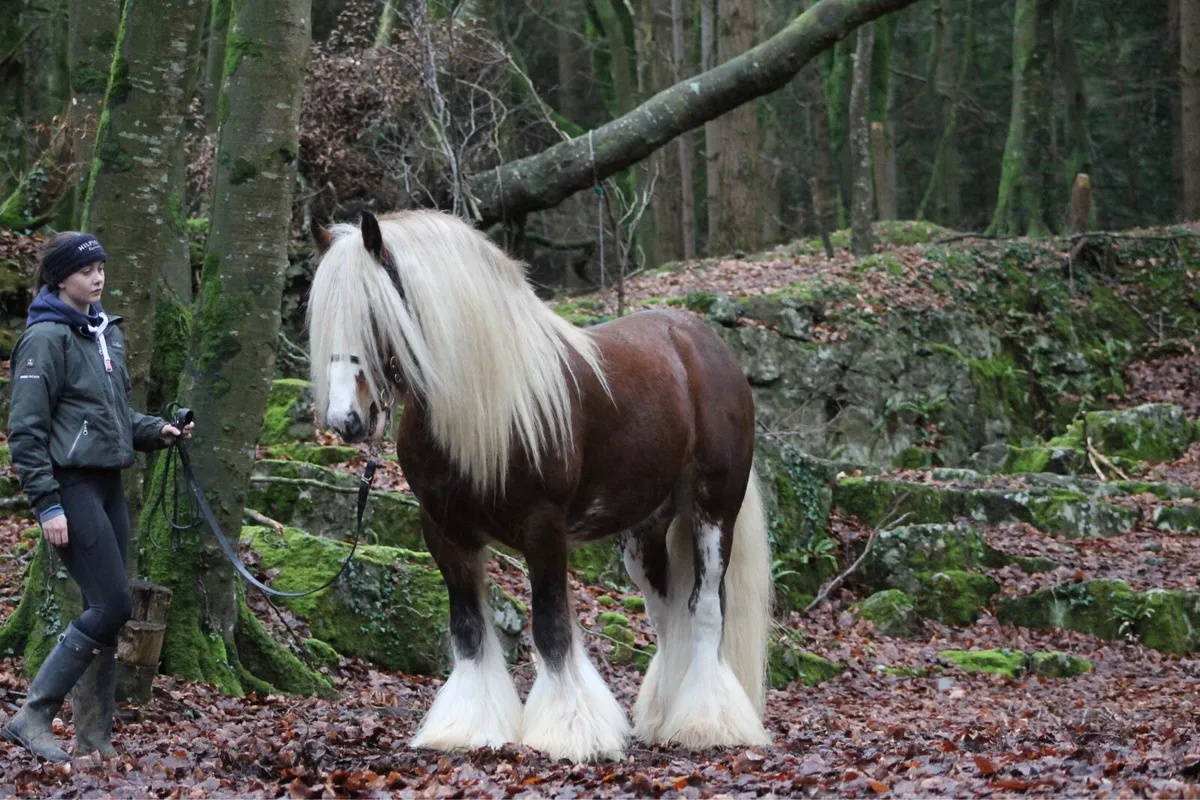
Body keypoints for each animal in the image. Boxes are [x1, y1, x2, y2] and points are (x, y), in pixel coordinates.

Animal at [306, 209, 773, 763]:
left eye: (375, 313)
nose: (346, 420)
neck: (489, 404)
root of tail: (702, 342)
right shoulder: (444, 532)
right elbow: (468, 630)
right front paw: (469, 728)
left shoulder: (543, 528)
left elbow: (550, 627)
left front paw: (568, 731)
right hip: (644, 532)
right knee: (666, 615)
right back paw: (662, 718)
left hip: (712, 512)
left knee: (704, 611)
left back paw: (706, 724)